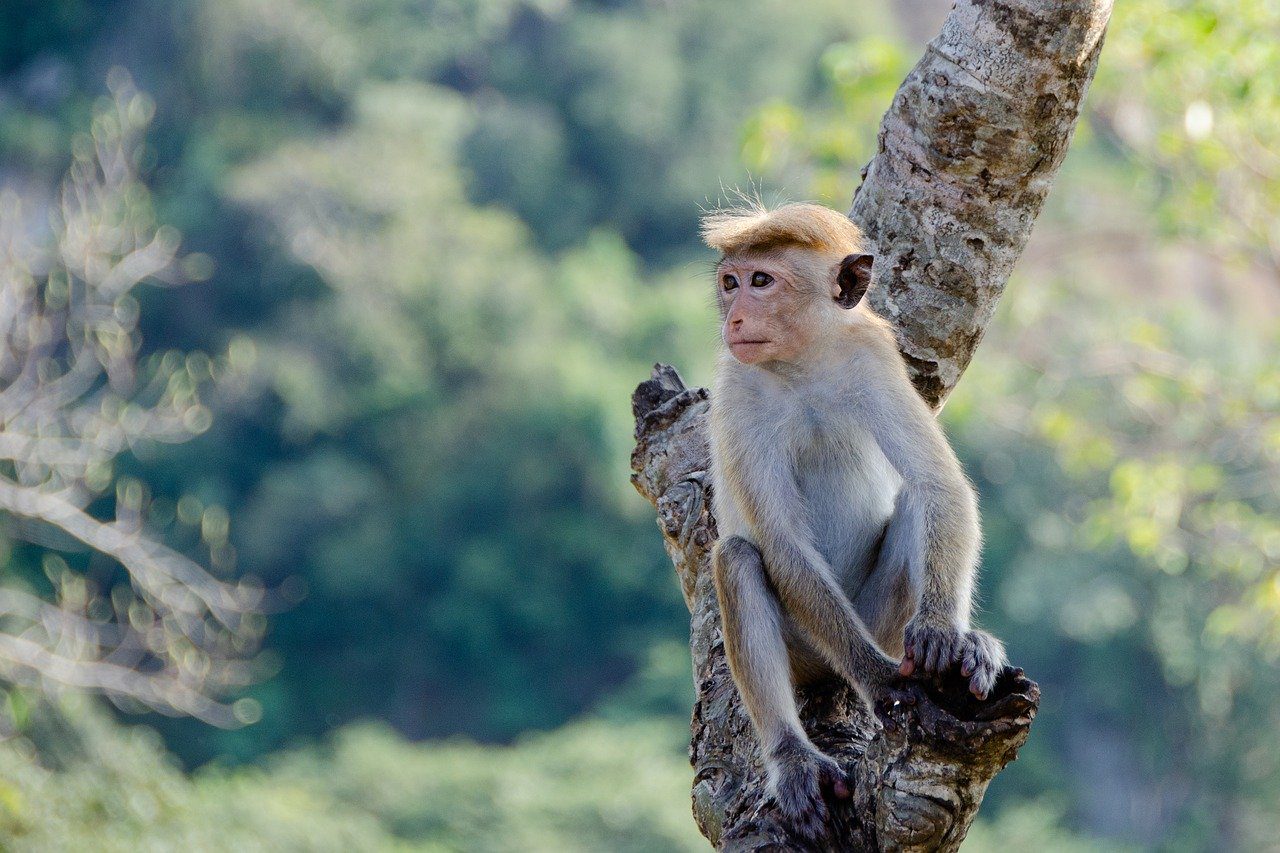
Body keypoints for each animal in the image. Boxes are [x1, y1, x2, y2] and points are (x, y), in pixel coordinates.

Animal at [702, 201, 1006, 838]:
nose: (736, 317)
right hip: (808, 646)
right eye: (730, 282)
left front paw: (945, 634)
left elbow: (937, 484)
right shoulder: (738, 392)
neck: (801, 365)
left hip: (878, 617)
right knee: (739, 558)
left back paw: (964, 643)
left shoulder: (873, 357)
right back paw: (794, 758)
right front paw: (881, 681)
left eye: (760, 281)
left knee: (915, 501)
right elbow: (783, 543)